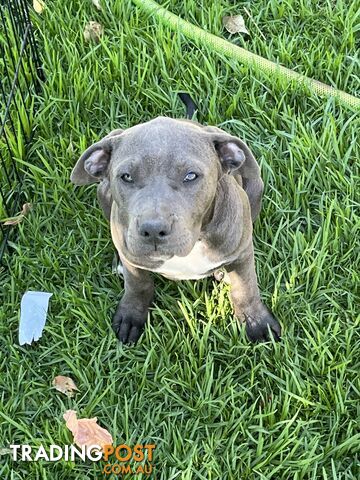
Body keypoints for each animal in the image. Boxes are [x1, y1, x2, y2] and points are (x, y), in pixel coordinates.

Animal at [71, 119, 282, 344]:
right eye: (126, 177)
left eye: (190, 176)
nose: (153, 229)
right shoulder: (132, 258)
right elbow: (138, 284)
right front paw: (131, 315)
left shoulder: (242, 252)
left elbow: (245, 288)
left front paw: (258, 323)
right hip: (103, 192)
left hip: (255, 186)